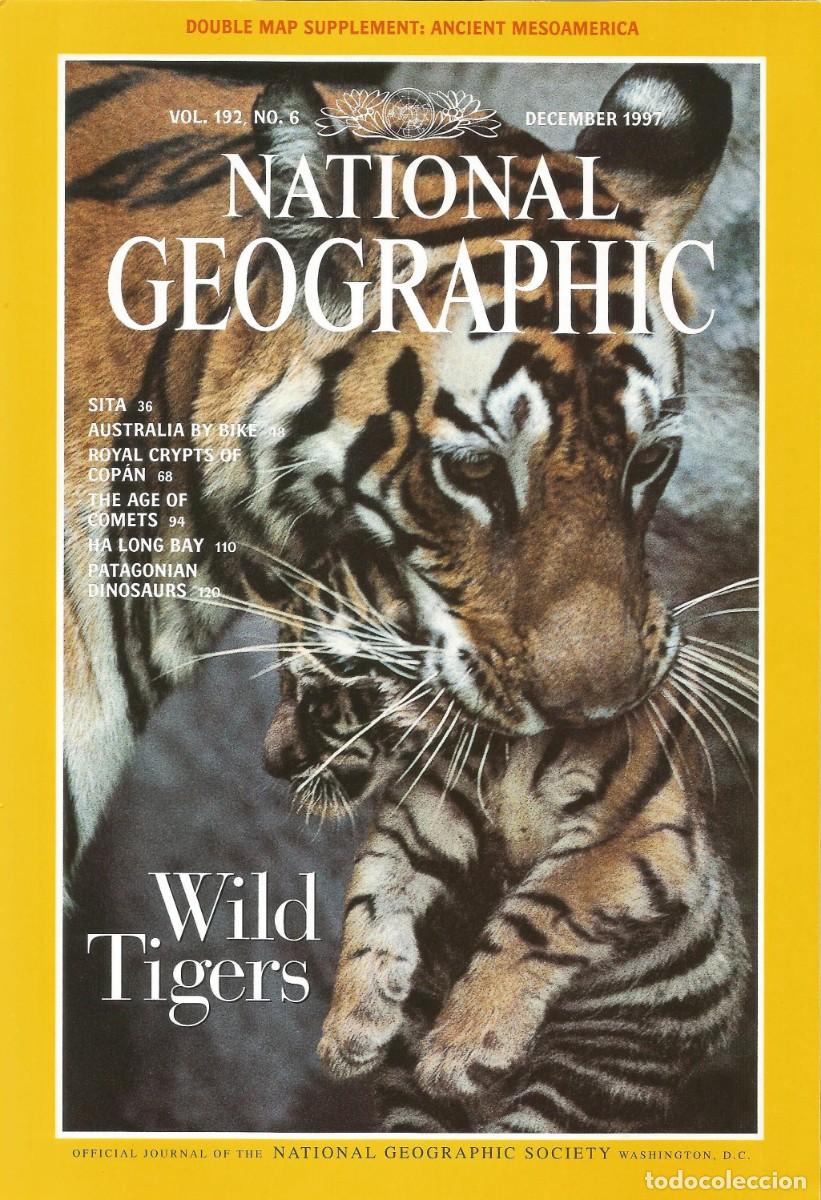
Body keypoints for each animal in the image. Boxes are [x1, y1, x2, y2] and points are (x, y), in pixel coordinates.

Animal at [260, 560, 750, 1134]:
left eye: (317, 699)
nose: (270, 763)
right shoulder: (421, 820)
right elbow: (371, 899)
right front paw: (351, 1028)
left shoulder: (630, 829)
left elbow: (535, 912)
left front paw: (461, 1047)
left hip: (597, 1073)